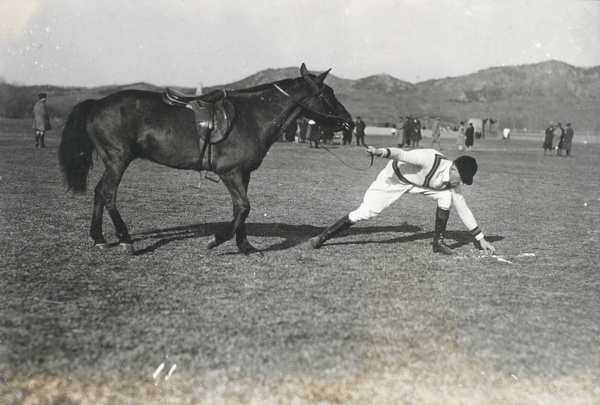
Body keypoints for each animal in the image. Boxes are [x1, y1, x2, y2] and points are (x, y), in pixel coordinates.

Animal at [57, 63, 352, 252]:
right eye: (327, 94)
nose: (347, 120)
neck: (253, 115)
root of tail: (96, 104)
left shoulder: (242, 173)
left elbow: (239, 209)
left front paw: (245, 246)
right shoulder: (229, 172)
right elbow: (243, 207)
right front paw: (218, 239)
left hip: (112, 162)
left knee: (98, 192)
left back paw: (98, 237)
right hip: (118, 160)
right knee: (108, 194)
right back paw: (124, 239)